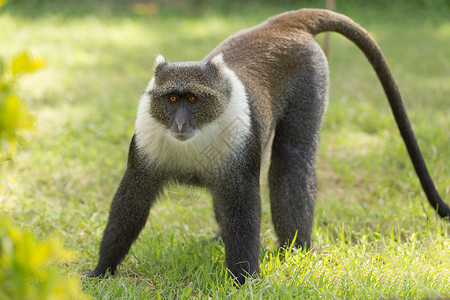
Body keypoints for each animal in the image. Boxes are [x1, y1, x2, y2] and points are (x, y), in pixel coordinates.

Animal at [85, 8, 450, 284]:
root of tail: (280, 25)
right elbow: (132, 200)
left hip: (312, 75)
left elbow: (243, 203)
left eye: (192, 99)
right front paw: (101, 270)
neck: (197, 136)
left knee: (292, 160)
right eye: (172, 99)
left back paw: (295, 251)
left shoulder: (238, 149)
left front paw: (245, 281)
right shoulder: (146, 144)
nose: (179, 125)